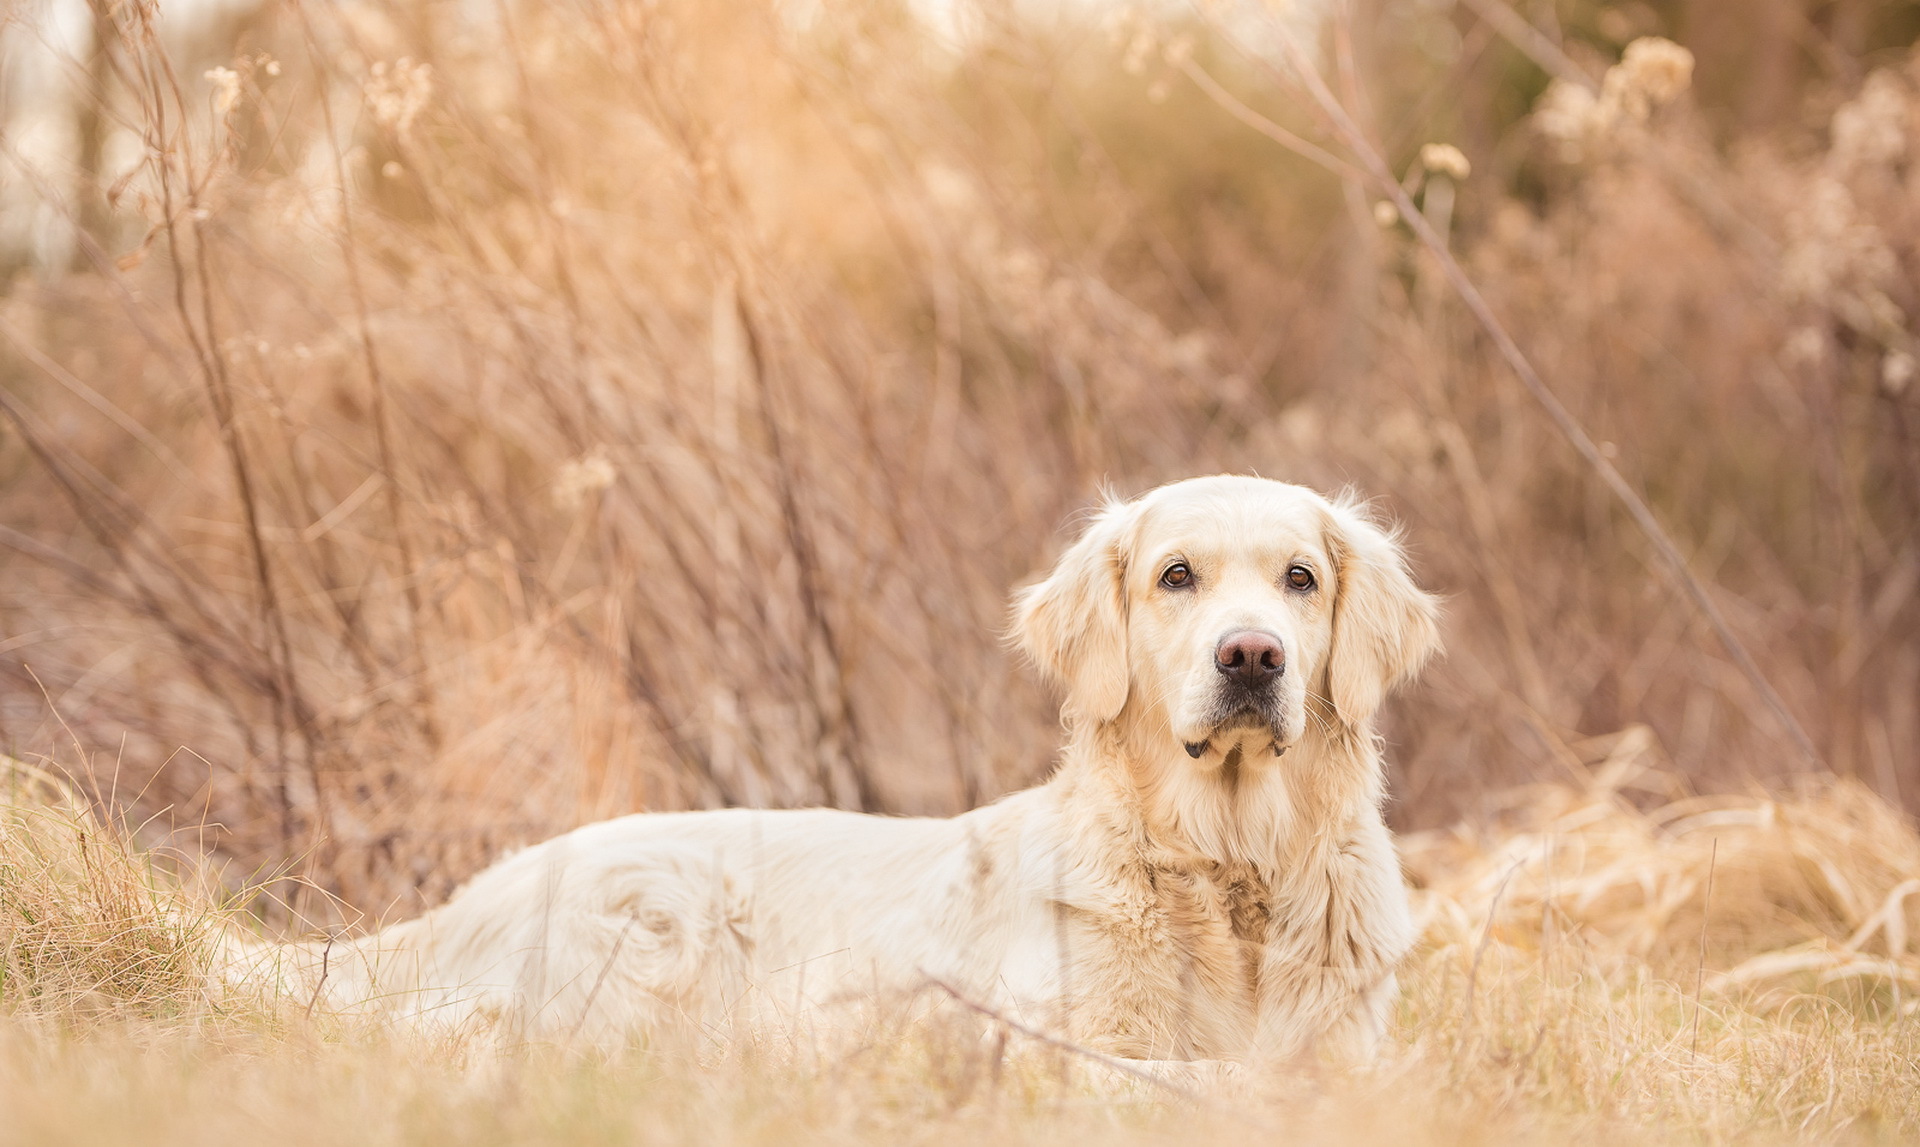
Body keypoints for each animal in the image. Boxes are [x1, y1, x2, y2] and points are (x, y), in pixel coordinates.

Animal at [270, 474, 1443, 1068]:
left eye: (1300, 578)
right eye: (1176, 576)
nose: (1251, 656)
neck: (1230, 863)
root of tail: (451, 909)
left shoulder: (1350, 1049)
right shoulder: (1072, 1048)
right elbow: (1200, 1073)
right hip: (656, 917)